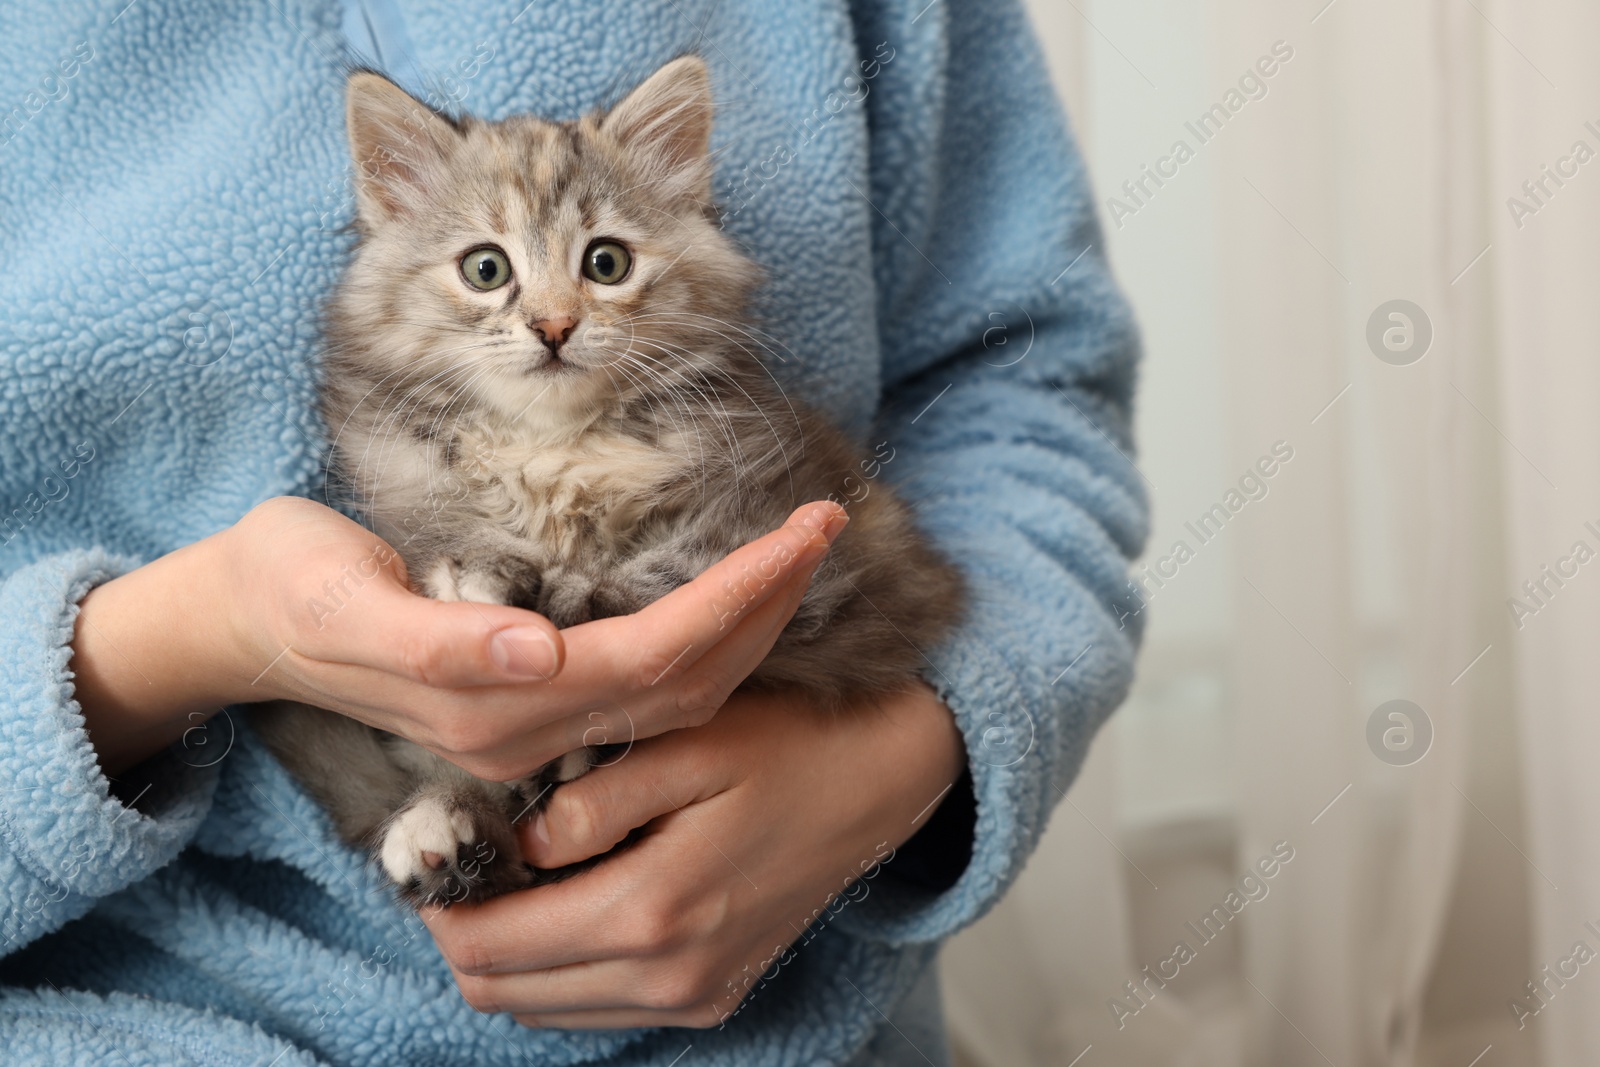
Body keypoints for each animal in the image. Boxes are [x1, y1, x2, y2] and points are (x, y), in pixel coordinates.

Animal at [256, 58, 960, 908]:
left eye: (606, 263)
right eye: (486, 269)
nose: (554, 326)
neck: (558, 447)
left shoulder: (803, 537)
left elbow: (648, 578)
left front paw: (556, 596)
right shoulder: (410, 493)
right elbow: (455, 549)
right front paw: (489, 573)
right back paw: (447, 835)